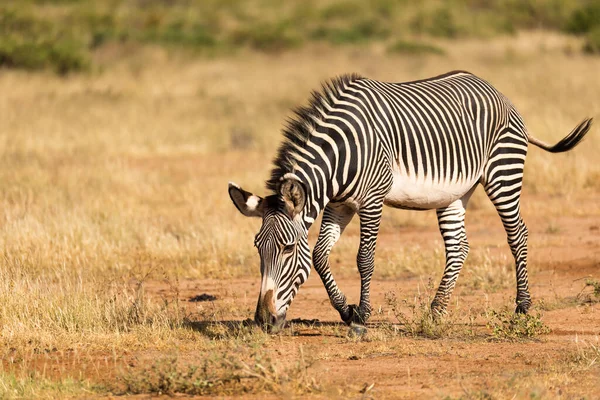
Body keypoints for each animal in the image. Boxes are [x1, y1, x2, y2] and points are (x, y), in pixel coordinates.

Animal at [229, 71, 592, 332]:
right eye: (258, 248)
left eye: (288, 249)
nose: (263, 321)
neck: (340, 156)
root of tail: (497, 91)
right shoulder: (339, 203)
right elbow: (319, 255)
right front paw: (346, 309)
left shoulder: (372, 199)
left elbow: (364, 258)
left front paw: (361, 316)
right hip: (455, 192)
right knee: (458, 247)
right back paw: (436, 311)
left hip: (504, 173)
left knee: (518, 235)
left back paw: (522, 307)